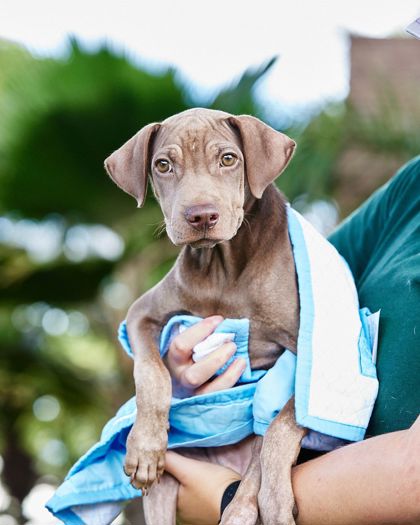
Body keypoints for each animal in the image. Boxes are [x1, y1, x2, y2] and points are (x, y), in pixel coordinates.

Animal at [105, 108, 306, 525]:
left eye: (228, 159)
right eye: (163, 165)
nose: (200, 216)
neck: (223, 267)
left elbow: (283, 423)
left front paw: (275, 500)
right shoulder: (141, 314)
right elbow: (152, 373)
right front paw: (145, 446)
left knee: (260, 449)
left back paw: (246, 507)